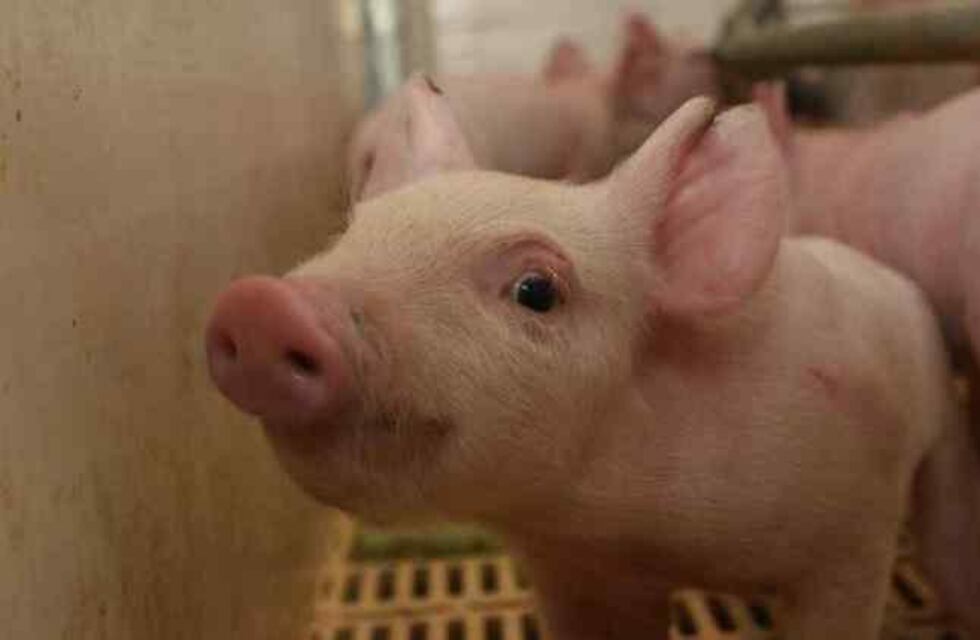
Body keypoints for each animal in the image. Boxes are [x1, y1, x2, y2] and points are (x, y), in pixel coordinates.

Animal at [205, 90, 978, 639]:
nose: (261, 305)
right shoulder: (581, 574)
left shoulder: (854, 538)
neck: (644, 532)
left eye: (537, 289)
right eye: (352, 232)